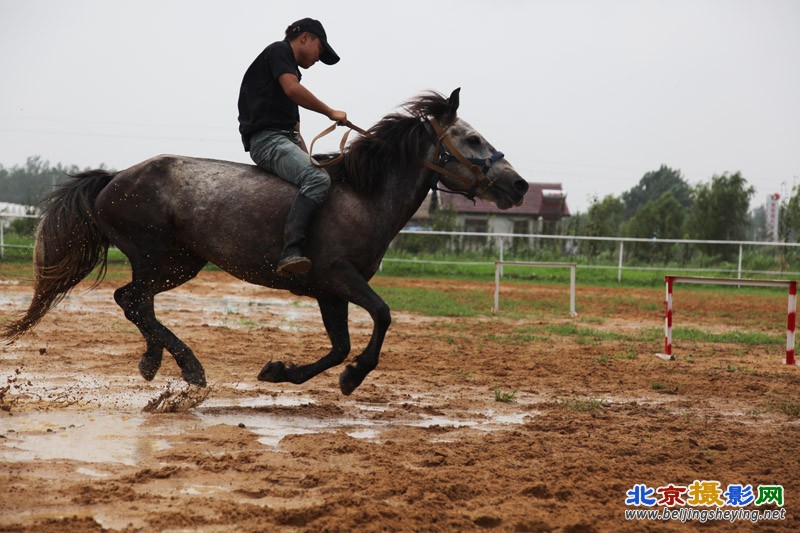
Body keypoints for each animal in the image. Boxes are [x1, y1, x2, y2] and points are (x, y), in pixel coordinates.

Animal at [3, 88, 528, 394]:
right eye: (472, 139)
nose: (518, 185)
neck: (361, 196)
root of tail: (113, 180)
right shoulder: (340, 276)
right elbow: (381, 316)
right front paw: (353, 377)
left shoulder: (329, 292)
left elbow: (339, 345)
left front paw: (281, 371)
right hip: (155, 256)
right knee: (132, 300)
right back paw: (189, 368)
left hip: (178, 263)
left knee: (134, 301)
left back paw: (155, 361)